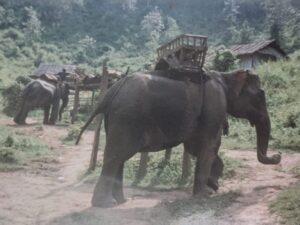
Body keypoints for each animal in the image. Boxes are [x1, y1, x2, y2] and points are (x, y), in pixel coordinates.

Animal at [75, 69, 282, 207]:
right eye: (261, 95)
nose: (278, 156)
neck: (226, 76)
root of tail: (112, 90)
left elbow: (195, 147)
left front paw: (213, 186)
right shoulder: (215, 104)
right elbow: (209, 144)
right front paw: (205, 194)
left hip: (116, 118)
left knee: (119, 157)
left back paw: (121, 200)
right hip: (127, 117)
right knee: (115, 156)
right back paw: (104, 204)